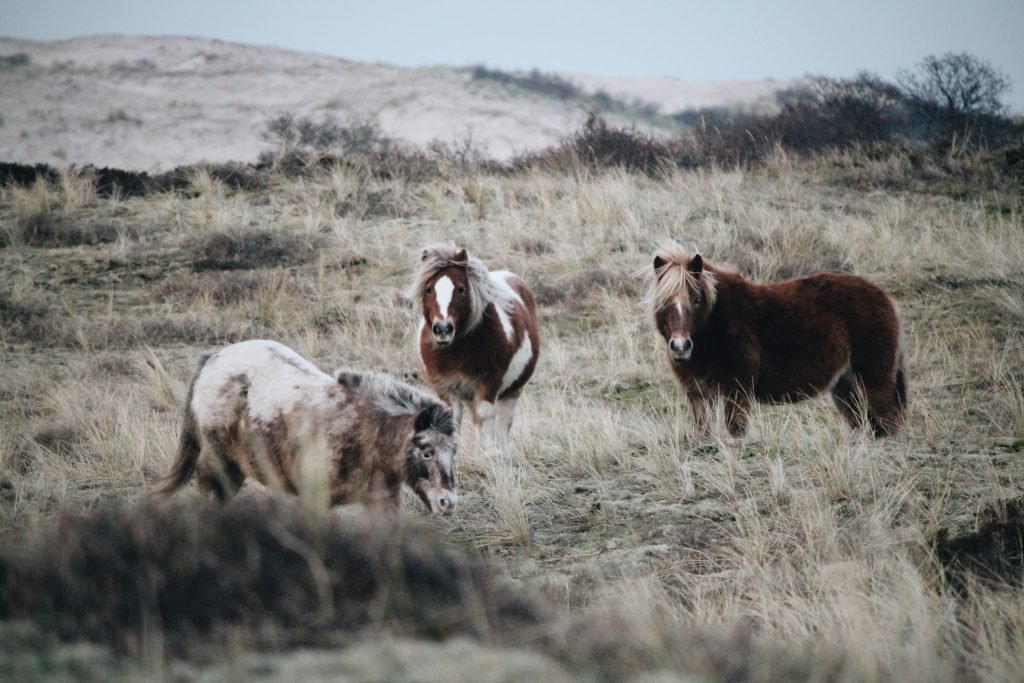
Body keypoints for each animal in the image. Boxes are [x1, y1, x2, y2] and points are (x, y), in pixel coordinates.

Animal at [153, 339, 458, 516]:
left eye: (453, 452)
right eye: (426, 451)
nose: (448, 502)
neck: (364, 433)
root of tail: (212, 359)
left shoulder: (382, 502)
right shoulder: (316, 499)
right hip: (218, 466)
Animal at [403, 242, 540, 456]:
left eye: (460, 289)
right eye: (428, 289)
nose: (443, 329)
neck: (457, 352)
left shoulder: (489, 384)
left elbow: (487, 415)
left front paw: (491, 453)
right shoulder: (445, 388)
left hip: (512, 391)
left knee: (503, 422)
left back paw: (503, 452)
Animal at [643, 244, 909, 438]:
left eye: (696, 300)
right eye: (664, 303)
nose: (680, 347)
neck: (715, 326)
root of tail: (886, 299)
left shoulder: (737, 390)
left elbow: (736, 430)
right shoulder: (698, 395)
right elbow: (704, 432)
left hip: (874, 380)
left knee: (890, 420)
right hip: (844, 386)